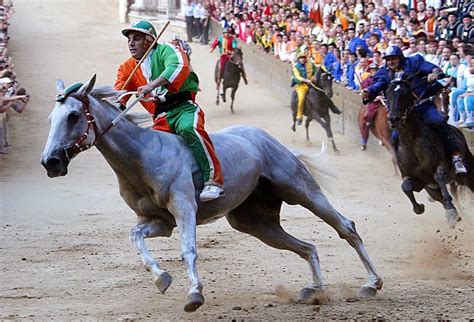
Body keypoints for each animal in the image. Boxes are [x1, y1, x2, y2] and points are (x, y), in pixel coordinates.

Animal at [39, 75, 382, 312]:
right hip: (255, 223)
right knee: (307, 247)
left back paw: (371, 284)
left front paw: (194, 295)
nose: (50, 162)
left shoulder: (184, 209)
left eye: (73, 116)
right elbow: (135, 238)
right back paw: (314, 291)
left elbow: (188, 250)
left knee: (345, 227)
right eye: (51, 118)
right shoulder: (158, 221)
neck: (142, 156)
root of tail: (265, 139)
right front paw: (162, 278)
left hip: (302, 190)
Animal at [386, 76, 474, 226]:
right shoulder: (421, 182)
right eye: (388, 94)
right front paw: (419, 208)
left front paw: (451, 212)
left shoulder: (441, 166)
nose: (393, 119)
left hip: (467, 174)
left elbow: (439, 177)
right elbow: (406, 186)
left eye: (405, 94)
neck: (412, 143)